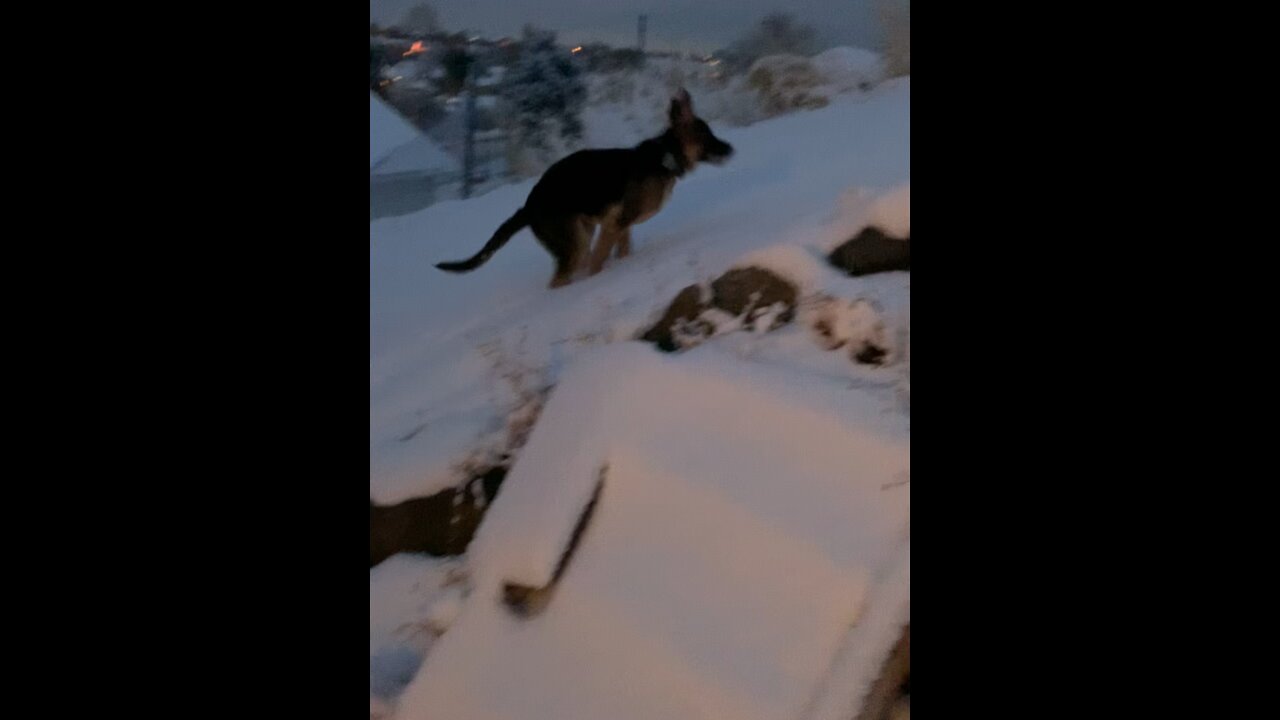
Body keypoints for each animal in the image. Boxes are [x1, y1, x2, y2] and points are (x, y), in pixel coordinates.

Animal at [435, 90, 737, 288]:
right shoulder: (615, 225)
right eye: (707, 136)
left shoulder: (621, 227)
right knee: (561, 279)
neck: (666, 157)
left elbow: (622, 252)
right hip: (576, 244)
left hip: (583, 232)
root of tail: (528, 206)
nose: (731, 149)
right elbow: (598, 265)